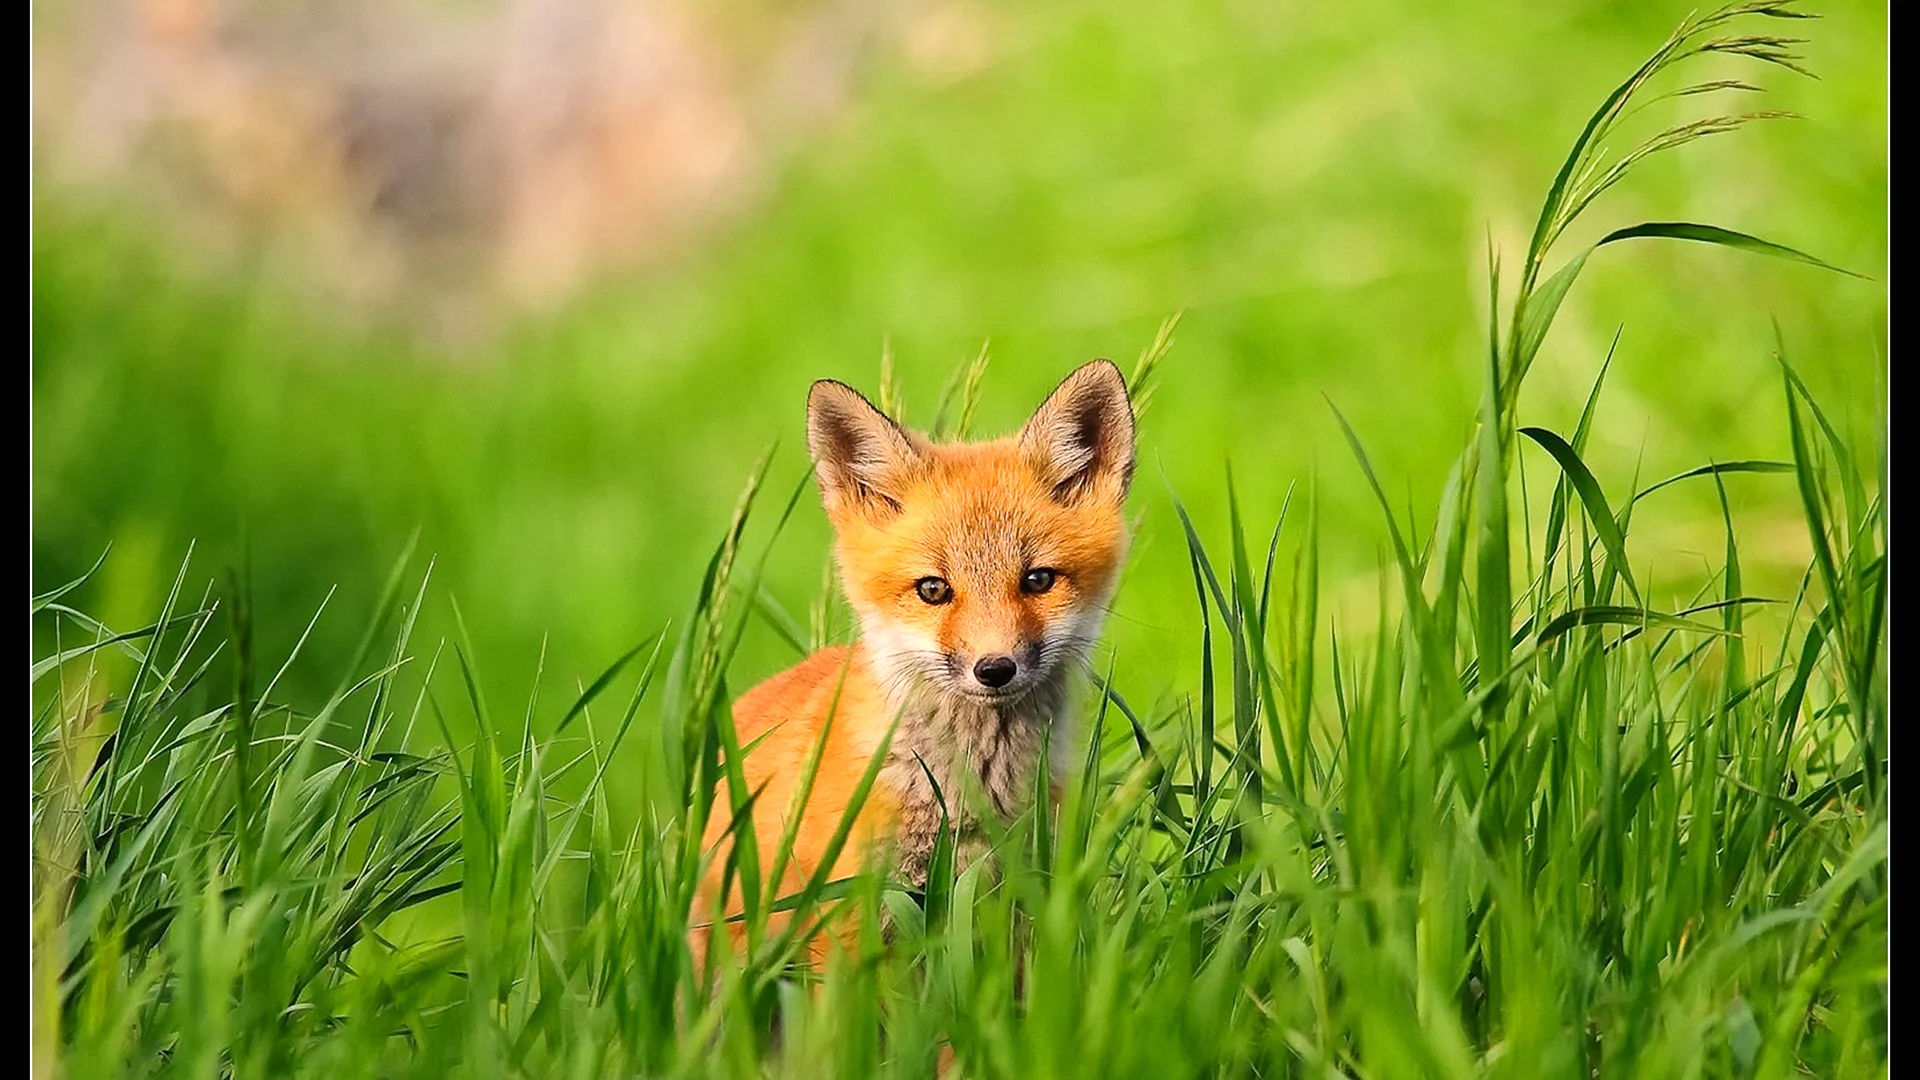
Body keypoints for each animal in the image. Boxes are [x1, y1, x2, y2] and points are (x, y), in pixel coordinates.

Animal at [698, 355, 1128, 968]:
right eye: (933, 589)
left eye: (1038, 580)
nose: (994, 669)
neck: (968, 797)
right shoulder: (849, 922)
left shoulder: (1022, 907)